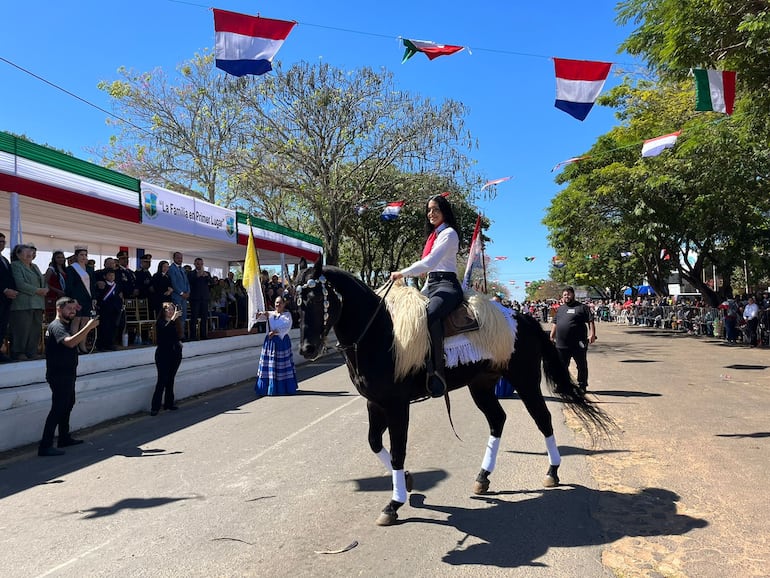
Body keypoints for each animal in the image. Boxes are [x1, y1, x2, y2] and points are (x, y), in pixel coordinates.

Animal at [296, 260, 608, 520]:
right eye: (295, 302)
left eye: (319, 298)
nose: (307, 349)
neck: (381, 333)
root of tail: (522, 319)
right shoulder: (375, 403)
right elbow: (375, 443)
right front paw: (406, 481)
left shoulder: (397, 405)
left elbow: (398, 451)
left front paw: (394, 503)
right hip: (481, 385)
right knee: (497, 420)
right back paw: (483, 477)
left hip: (525, 380)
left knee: (543, 419)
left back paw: (552, 471)